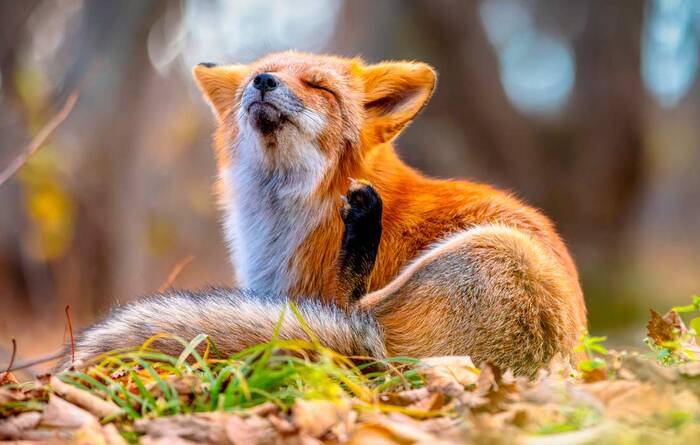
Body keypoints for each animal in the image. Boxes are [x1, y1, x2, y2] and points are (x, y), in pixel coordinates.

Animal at [62, 51, 587, 376]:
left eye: (318, 86)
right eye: (261, 73)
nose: (263, 81)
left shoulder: (303, 292)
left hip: (492, 250)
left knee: (353, 312)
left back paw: (363, 235)